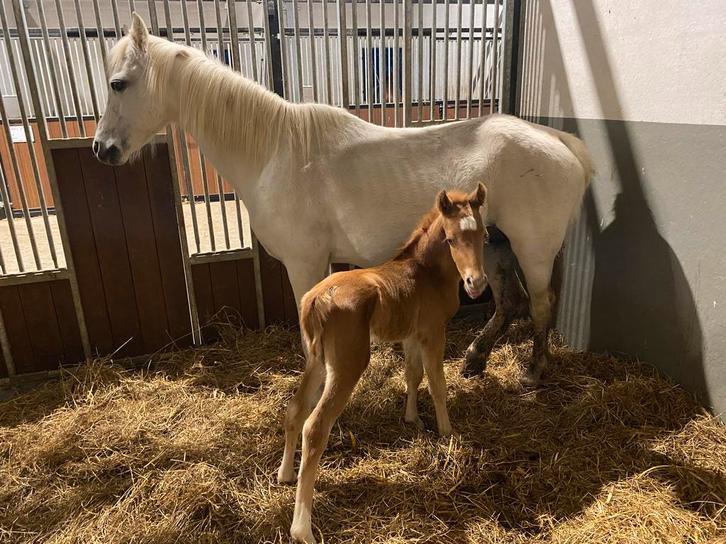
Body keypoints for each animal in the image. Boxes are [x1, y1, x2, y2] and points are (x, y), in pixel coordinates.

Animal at [93, 14, 593, 385]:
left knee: (541, 303)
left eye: (118, 83)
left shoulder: (304, 263)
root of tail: (558, 140)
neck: (275, 152)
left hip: (532, 248)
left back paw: (533, 372)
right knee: (510, 302)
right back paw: (474, 361)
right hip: (492, 244)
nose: (102, 149)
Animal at [277, 185, 489, 543]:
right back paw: (302, 528)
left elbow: (412, 375)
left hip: (316, 360)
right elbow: (437, 382)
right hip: (346, 365)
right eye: (450, 239)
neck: (425, 273)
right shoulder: (433, 332)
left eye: (484, 235)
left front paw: (412, 420)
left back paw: (285, 474)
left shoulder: (411, 335)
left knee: (295, 409)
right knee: (315, 426)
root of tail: (315, 299)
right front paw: (447, 432)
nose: (477, 283)